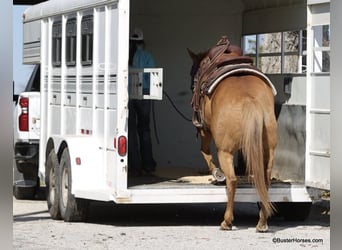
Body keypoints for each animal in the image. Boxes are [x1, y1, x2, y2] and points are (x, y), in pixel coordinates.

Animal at [187, 37, 278, 232]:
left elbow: (204, 151)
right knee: (265, 182)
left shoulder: (205, 130)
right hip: (268, 152)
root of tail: (250, 100)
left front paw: (216, 173)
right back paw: (262, 222)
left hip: (225, 151)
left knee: (232, 180)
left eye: (193, 74)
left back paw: (227, 221)